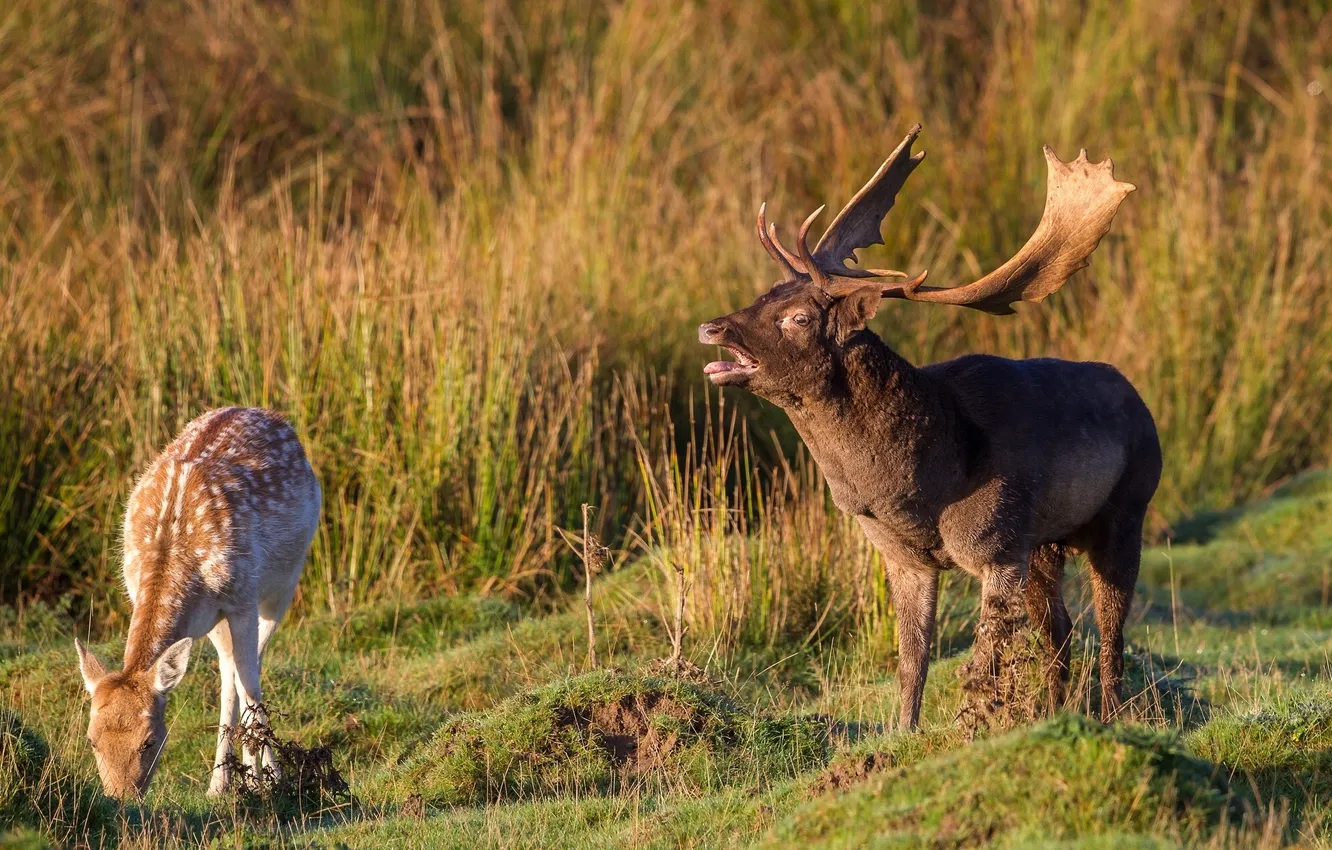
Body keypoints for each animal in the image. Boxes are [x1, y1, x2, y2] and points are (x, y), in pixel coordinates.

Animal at [73, 407, 320, 798]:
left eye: (149, 740)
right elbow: (236, 679)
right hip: (213, 620)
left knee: (247, 672)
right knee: (228, 670)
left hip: (285, 582)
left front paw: (272, 781)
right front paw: (234, 781)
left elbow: (251, 686)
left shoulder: (242, 598)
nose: (120, 801)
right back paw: (222, 783)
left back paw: (254, 777)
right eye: (91, 740)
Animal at [698, 125, 1160, 731]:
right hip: (1045, 543)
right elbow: (911, 660)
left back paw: (1110, 716)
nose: (713, 327)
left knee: (1110, 633)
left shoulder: (997, 545)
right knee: (1060, 629)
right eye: (763, 294)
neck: (921, 487)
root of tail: (1141, 401)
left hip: (1126, 511)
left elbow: (982, 666)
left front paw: (970, 730)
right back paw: (1054, 713)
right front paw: (904, 732)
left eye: (797, 318)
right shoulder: (904, 557)